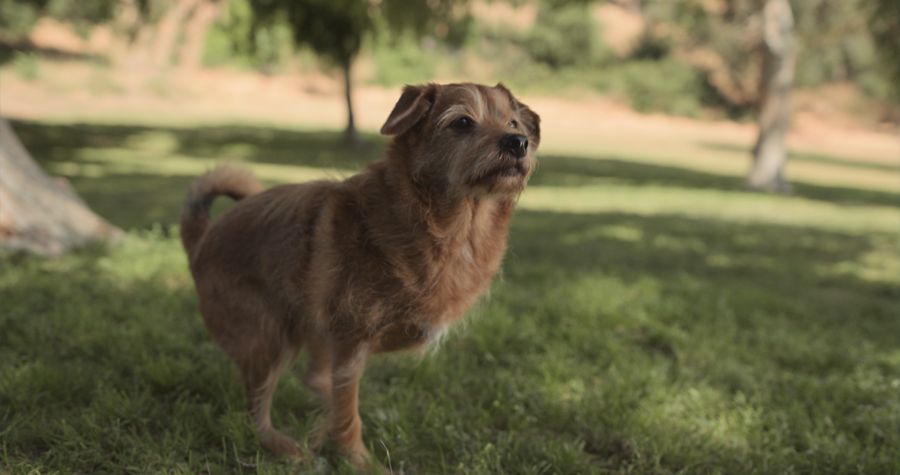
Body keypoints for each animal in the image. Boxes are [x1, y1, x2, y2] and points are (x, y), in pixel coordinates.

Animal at [179, 82, 536, 468]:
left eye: (514, 123)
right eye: (463, 122)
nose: (518, 142)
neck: (453, 225)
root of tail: (202, 237)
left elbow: (340, 399)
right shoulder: (351, 341)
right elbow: (348, 409)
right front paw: (359, 461)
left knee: (312, 379)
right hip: (270, 338)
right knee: (256, 409)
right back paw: (282, 445)